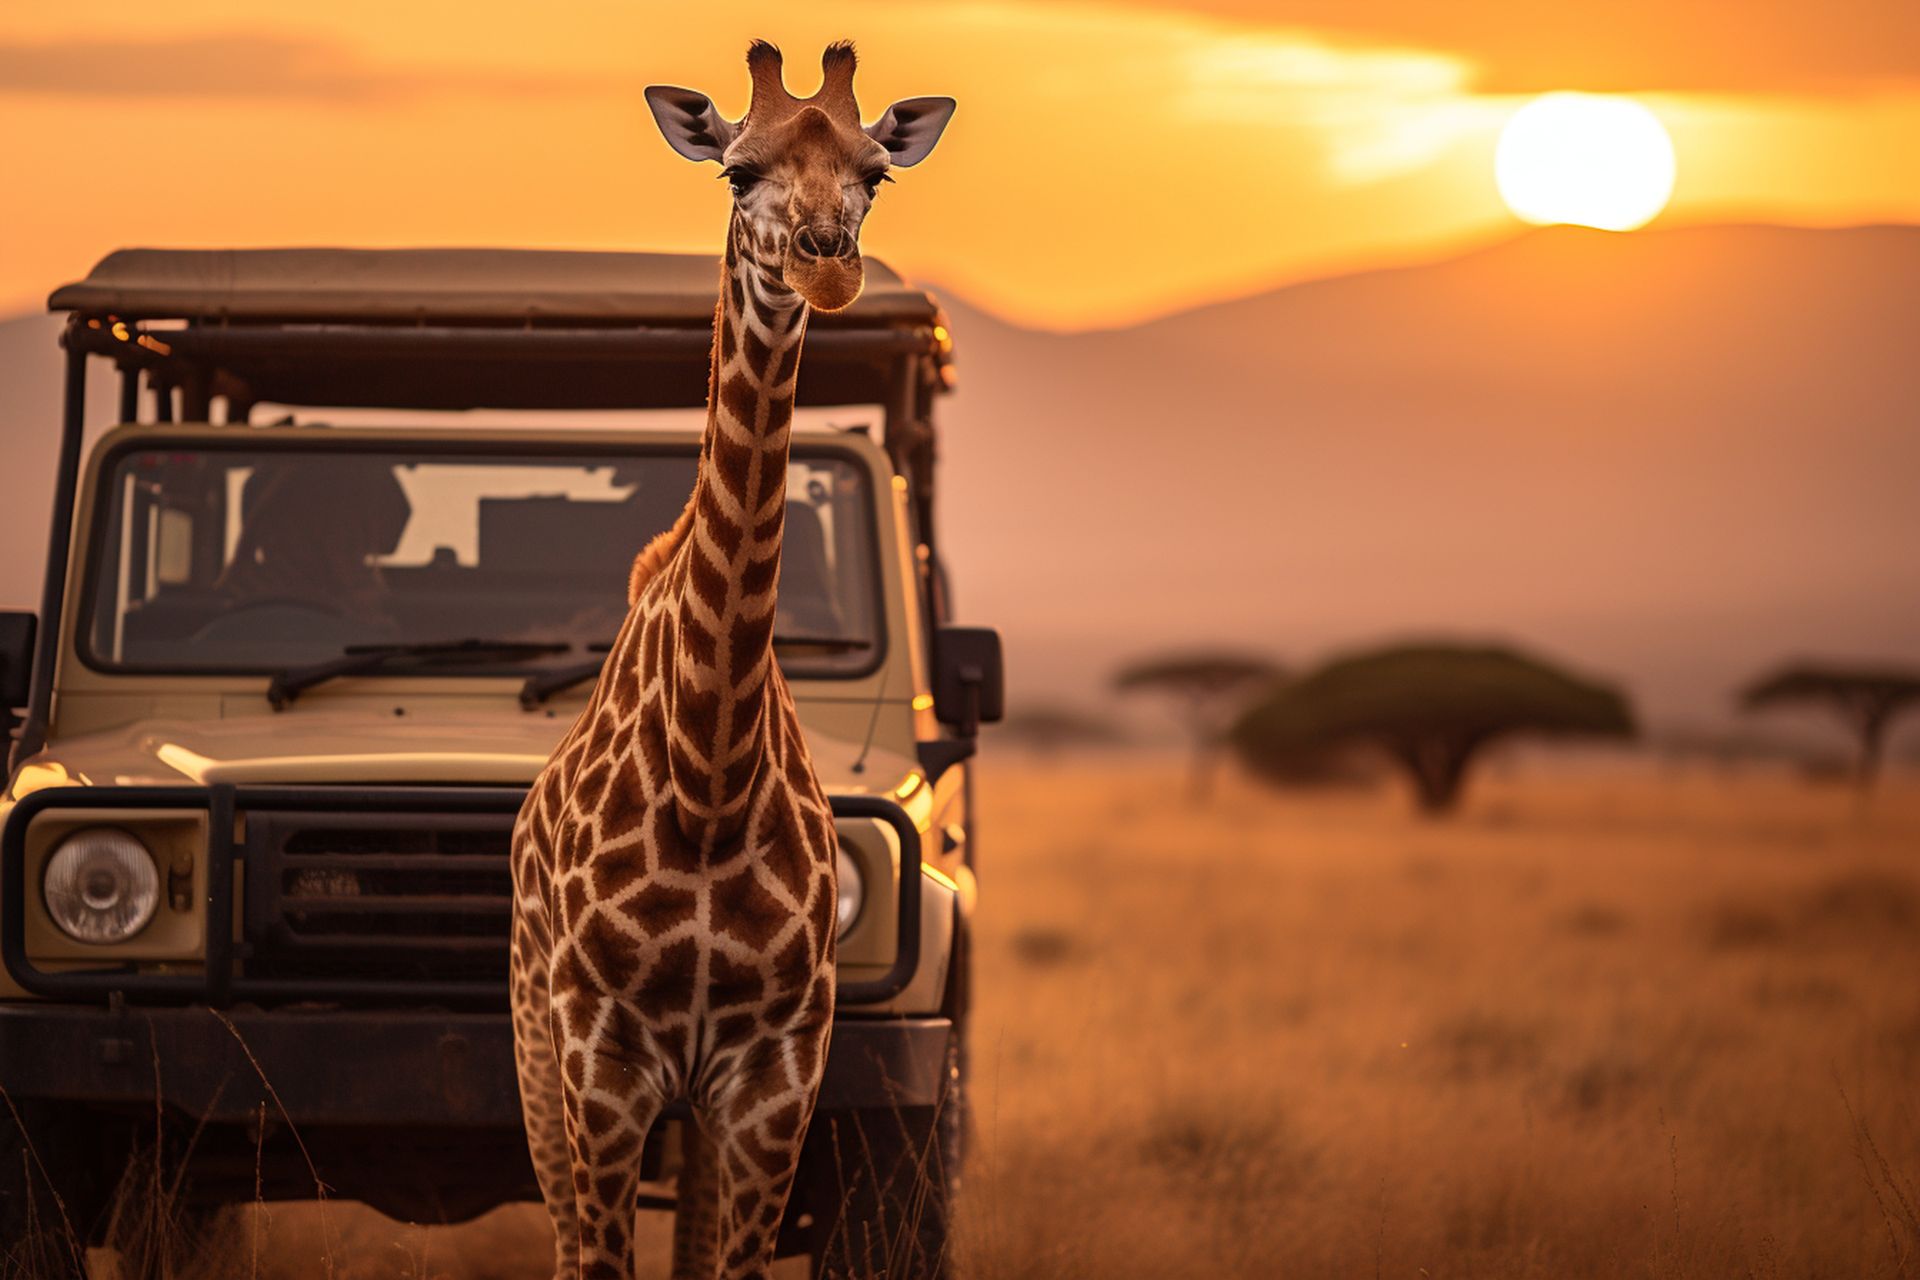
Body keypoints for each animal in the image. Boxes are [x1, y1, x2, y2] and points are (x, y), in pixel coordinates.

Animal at [508, 41, 955, 1280]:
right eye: (737, 169)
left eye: (873, 174)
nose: (827, 264)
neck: (708, 777)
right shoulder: (602, 1061)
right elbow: (599, 1261)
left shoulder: (774, 1072)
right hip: (533, 1044)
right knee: (563, 1236)